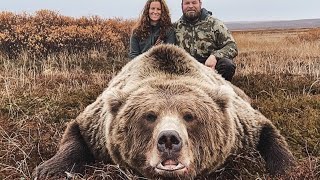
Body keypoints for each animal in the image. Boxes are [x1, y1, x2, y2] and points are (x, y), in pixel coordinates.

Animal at [33, 44, 296, 179]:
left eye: (189, 116)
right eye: (149, 116)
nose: (169, 139)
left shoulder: (240, 127)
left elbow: (265, 129)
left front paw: (288, 167)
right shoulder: (99, 127)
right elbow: (76, 132)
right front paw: (46, 169)